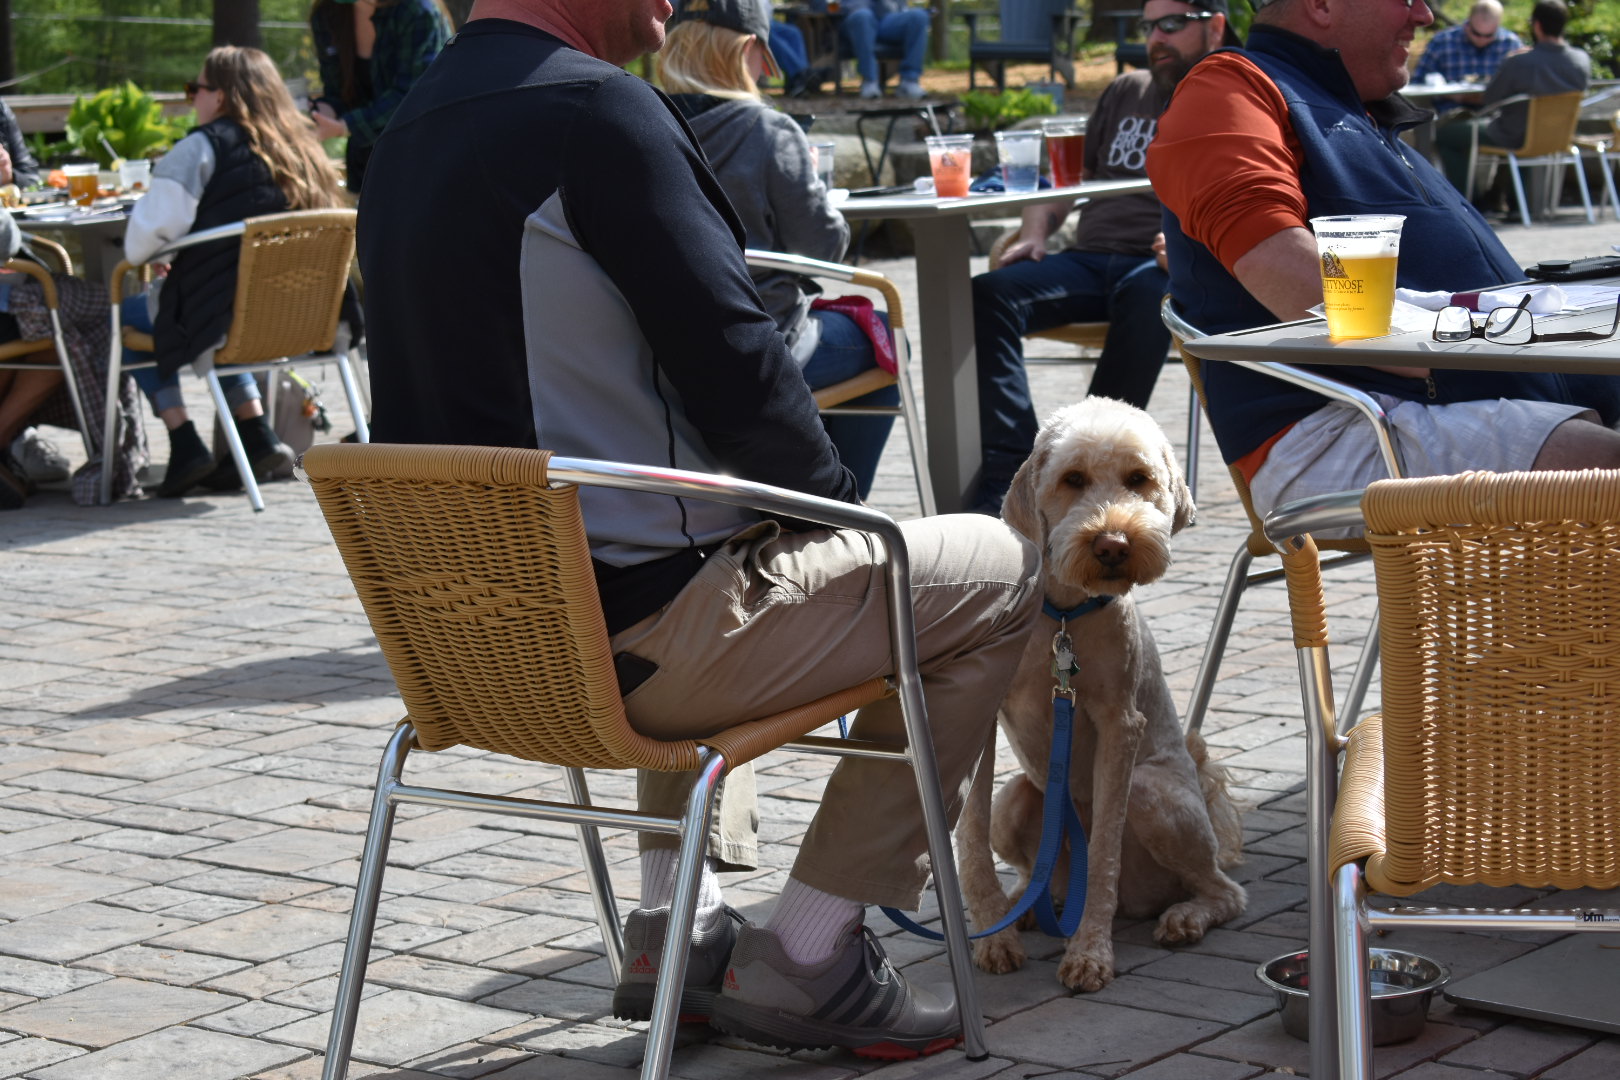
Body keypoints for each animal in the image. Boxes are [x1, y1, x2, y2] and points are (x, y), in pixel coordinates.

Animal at [952, 399, 1244, 997]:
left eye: (1139, 479)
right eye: (1073, 479)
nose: (1114, 544)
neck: (1063, 612)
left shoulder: (1119, 726)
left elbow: (1105, 848)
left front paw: (1089, 953)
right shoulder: (982, 715)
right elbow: (970, 837)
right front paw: (994, 938)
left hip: (1154, 794)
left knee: (1222, 890)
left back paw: (1185, 916)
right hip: (1017, 801)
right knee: (1033, 870)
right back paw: (1025, 906)